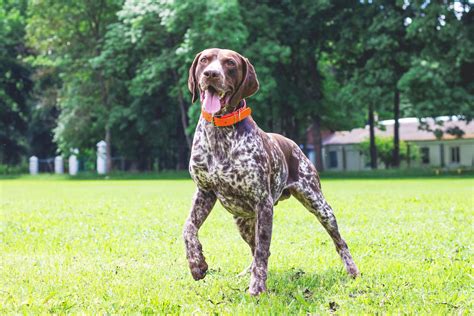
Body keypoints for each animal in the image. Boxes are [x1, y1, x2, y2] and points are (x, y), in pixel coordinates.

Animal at [182, 48, 360, 296]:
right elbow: (188, 228)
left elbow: (262, 250)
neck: (220, 133)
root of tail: (293, 143)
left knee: (339, 242)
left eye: (230, 63)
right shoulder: (204, 192)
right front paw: (197, 264)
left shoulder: (263, 203)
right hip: (243, 221)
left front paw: (257, 288)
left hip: (320, 206)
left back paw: (352, 270)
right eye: (205, 60)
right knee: (254, 248)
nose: (211, 74)